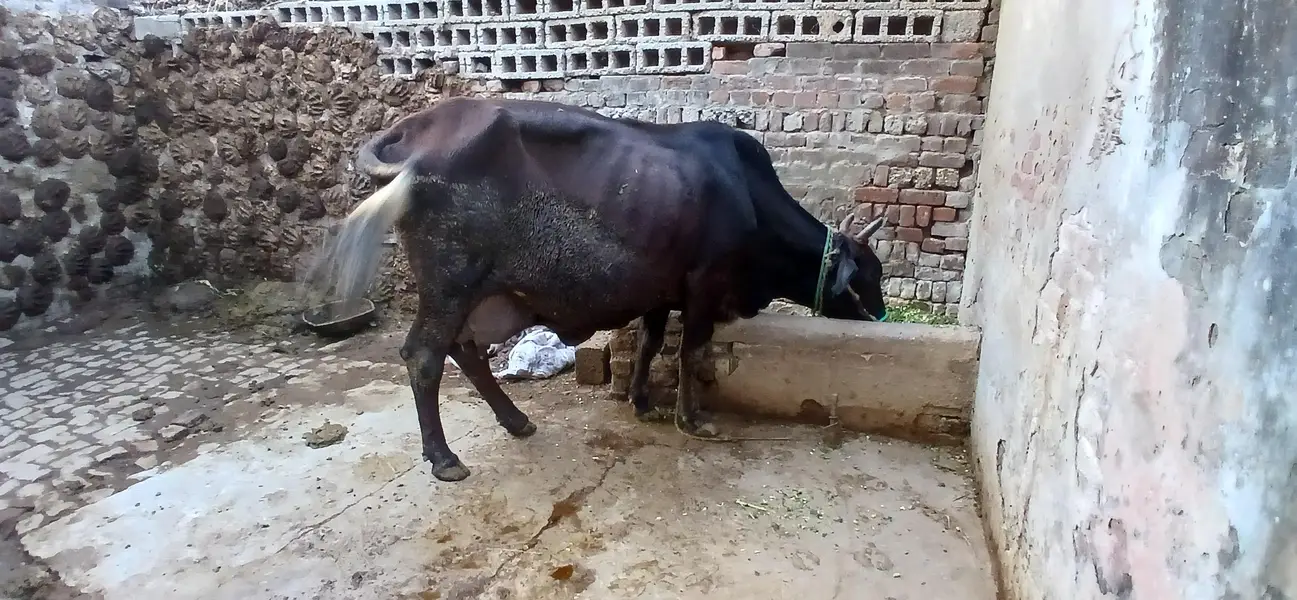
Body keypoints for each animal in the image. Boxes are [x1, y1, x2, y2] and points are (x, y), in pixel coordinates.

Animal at [309, 97, 887, 482]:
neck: (749, 199)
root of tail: (415, 135)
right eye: (868, 277)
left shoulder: (661, 294)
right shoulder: (702, 289)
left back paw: (516, 421)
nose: (878, 317)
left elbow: (651, 347)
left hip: (473, 294)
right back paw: (446, 459)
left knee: (464, 352)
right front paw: (691, 419)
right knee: (424, 356)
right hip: (450, 283)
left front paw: (642, 403)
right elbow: (689, 353)